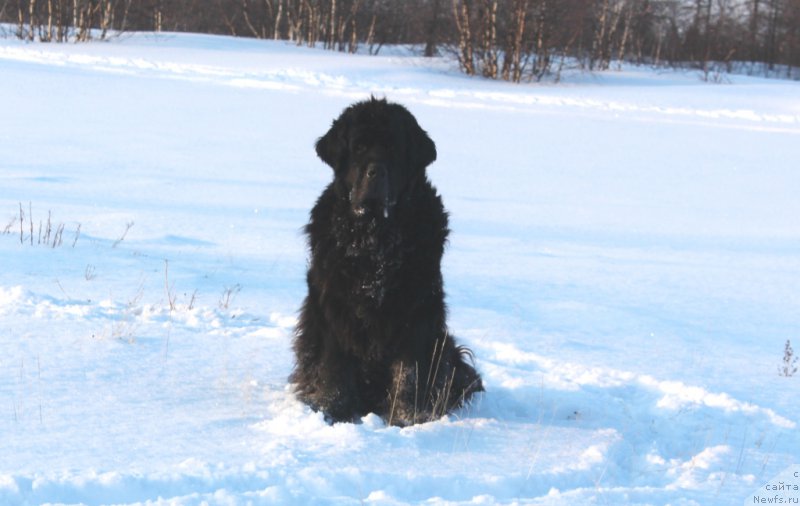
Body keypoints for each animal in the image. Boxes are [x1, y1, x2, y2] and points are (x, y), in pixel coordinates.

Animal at [292, 97, 484, 424]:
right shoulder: (332, 306)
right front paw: (335, 414)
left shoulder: (417, 310)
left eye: (394, 148)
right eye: (358, 147)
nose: (376, 172)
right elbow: (334, 365)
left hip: (446, 347)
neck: (375, 238)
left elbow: (409, 371)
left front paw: (408, 419)